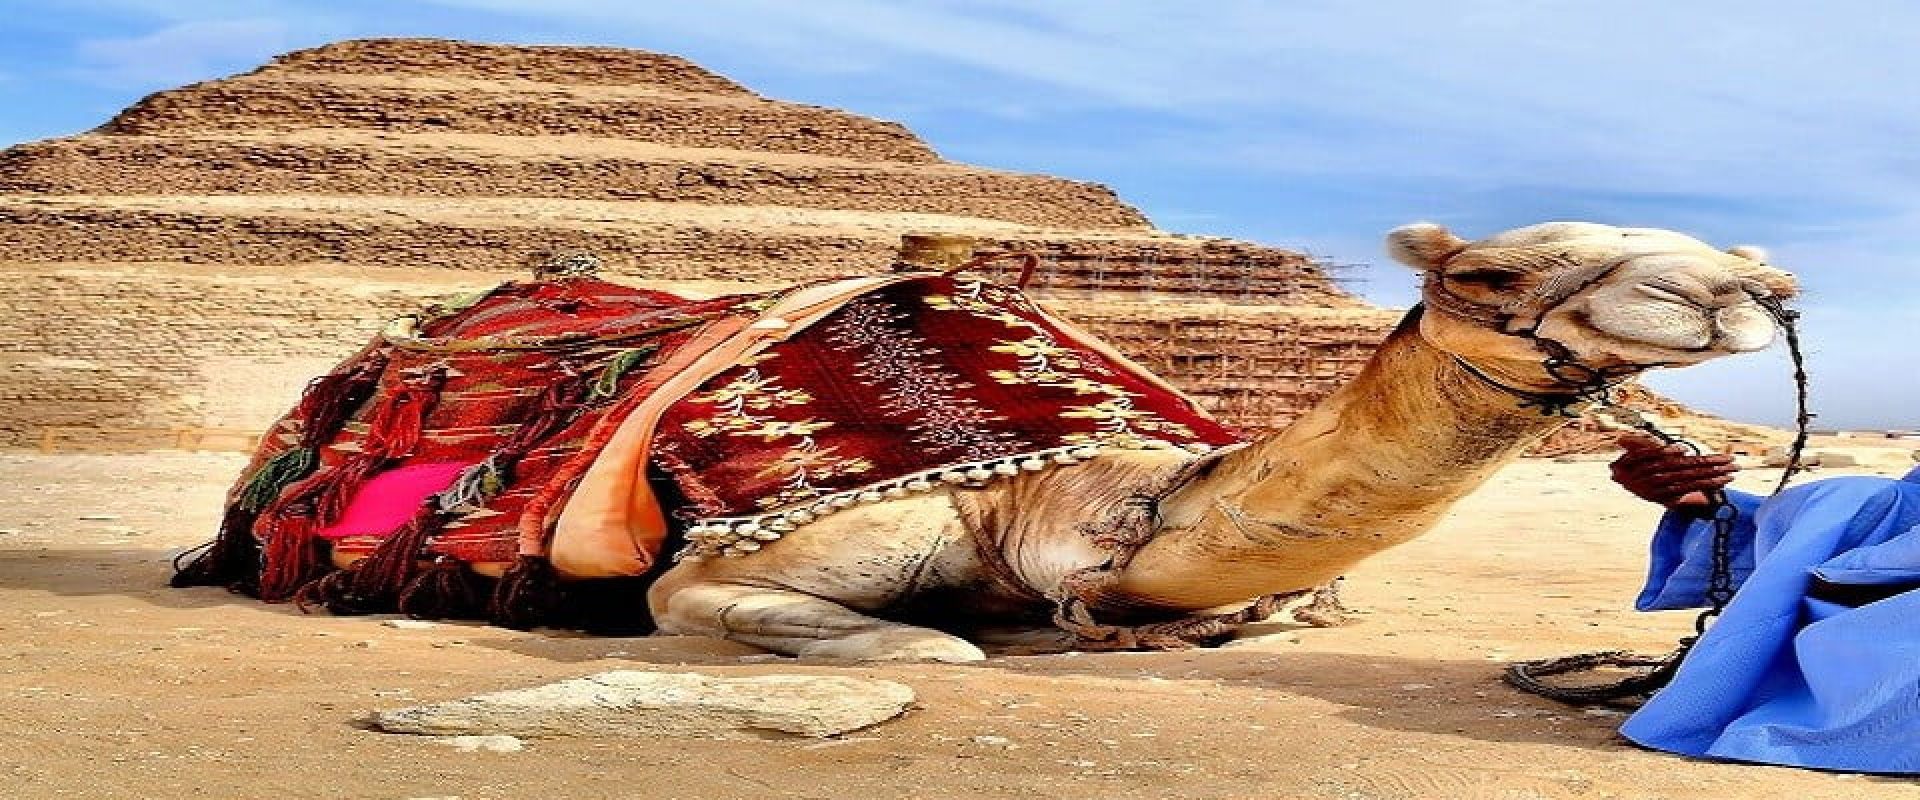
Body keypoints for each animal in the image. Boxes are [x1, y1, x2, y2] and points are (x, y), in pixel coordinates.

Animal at [641, 221, 1799, 662]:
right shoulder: (724, 566)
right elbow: (925, 643)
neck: (1056, 495)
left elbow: (1277, 612)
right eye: (1488, 274)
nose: (1741, 285)